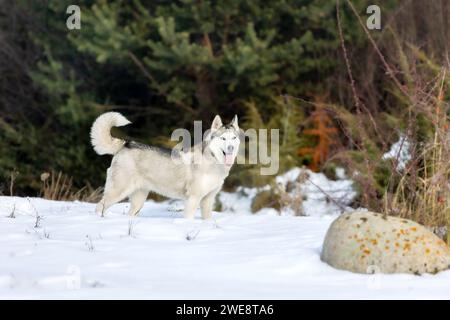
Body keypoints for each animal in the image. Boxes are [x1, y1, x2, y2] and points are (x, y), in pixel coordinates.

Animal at [89, 111, 241, 219]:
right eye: (223, 138)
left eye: (233, 138)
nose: (230, 148)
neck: (212, 160)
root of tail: (126, 144)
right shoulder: (193, 199)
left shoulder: (208, 200)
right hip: (118, 191)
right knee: (99, 206)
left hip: (139, 199)